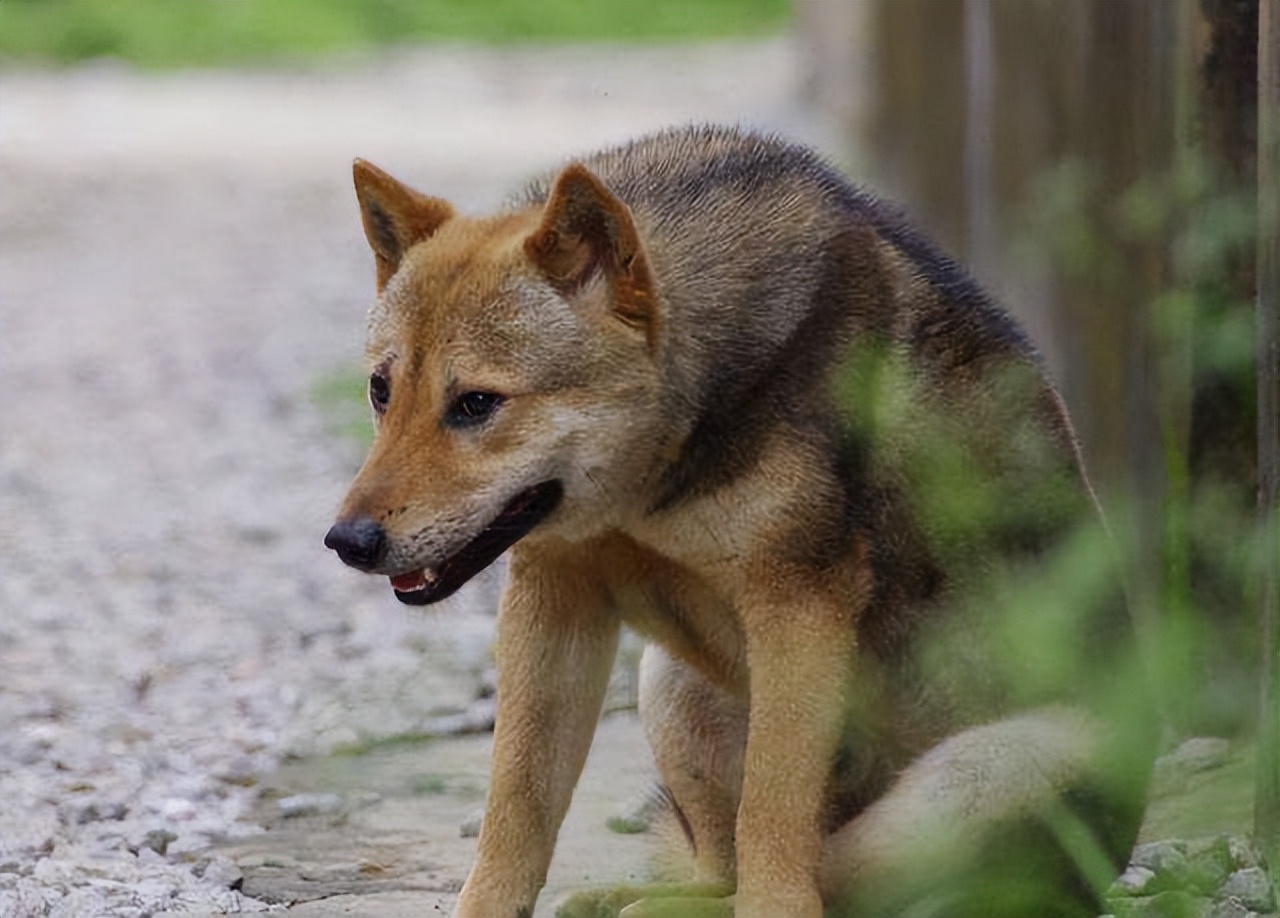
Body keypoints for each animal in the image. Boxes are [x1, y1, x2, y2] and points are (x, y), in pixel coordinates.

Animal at [325, 123, 1157, 916]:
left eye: (476, 404)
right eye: (379, 391)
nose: (347, 543)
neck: (653, 480)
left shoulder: (798, 607)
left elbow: (773, 817)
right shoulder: (555, 596)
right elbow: (517, 807)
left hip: (986, 773)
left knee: (843, 884)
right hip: (671, 683)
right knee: (724, 866)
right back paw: (636, 902)